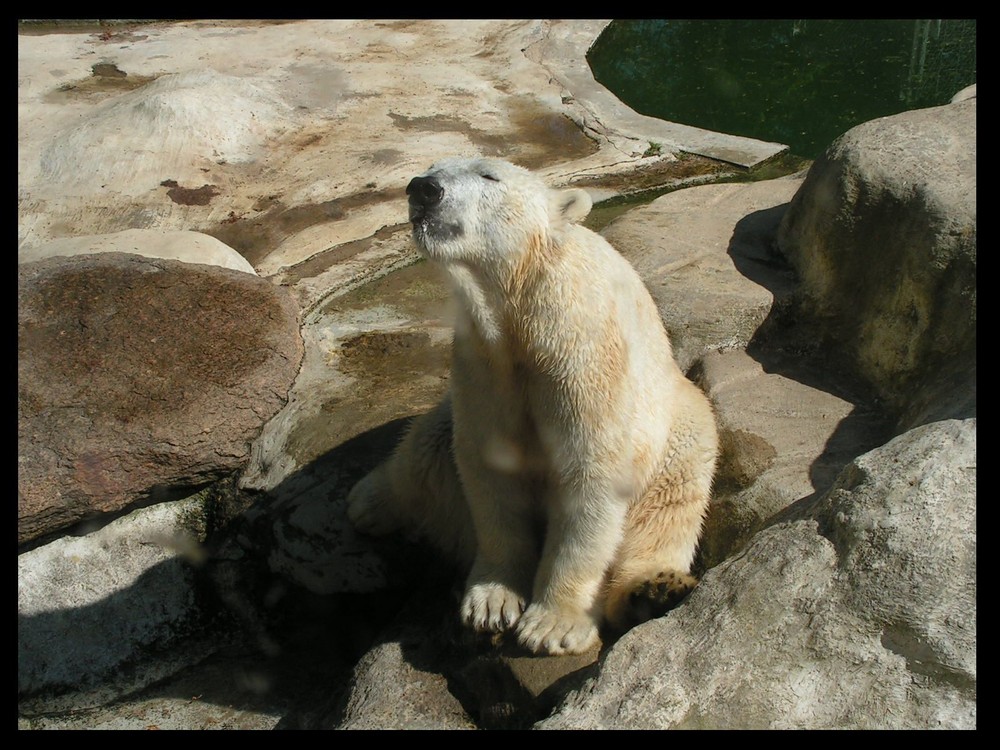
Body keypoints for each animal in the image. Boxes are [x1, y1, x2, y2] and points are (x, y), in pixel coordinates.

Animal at [346, 156, 720, 656]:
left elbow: (591, 480)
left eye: (488, 175)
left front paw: (552, 625)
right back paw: (367, 503)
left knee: (671, 507)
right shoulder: (484, 362)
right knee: (427, 447)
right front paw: (492, 602)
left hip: (684, 433)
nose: (423, 188)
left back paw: (653, 591)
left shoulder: (582, 360)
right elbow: (491, 470)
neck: (522, 307)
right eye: (434, 166)